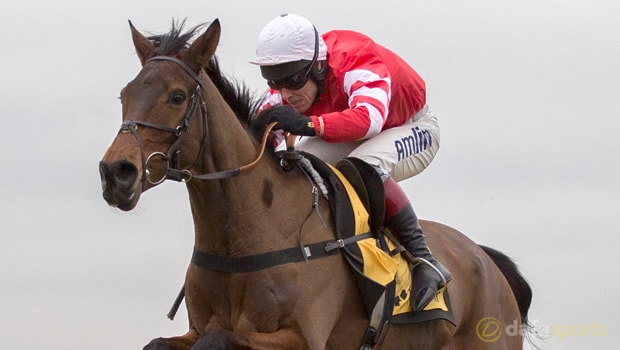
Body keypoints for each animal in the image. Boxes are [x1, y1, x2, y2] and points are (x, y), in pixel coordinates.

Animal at [98, 19, 532, 350]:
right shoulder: (197, 328)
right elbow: (162, 343)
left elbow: (217, 340)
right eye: (124, 95)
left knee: (368, 164)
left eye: (176, 96)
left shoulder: (301, 338)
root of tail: (486, 261)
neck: (246, 235)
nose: (116, 172)